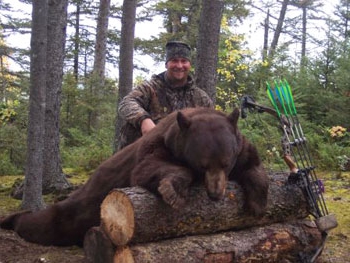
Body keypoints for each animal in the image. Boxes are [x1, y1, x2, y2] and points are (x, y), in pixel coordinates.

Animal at [0, 107, 268, 248]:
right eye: (202, 165)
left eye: (226, 162)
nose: (215, 193)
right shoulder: (158, 146)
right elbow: (147, 169)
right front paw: (173, 192)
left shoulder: (240, 147)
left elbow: (253, 164)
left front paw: (258, 203)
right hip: (76, 209)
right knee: (43, 224)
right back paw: (11, 220)